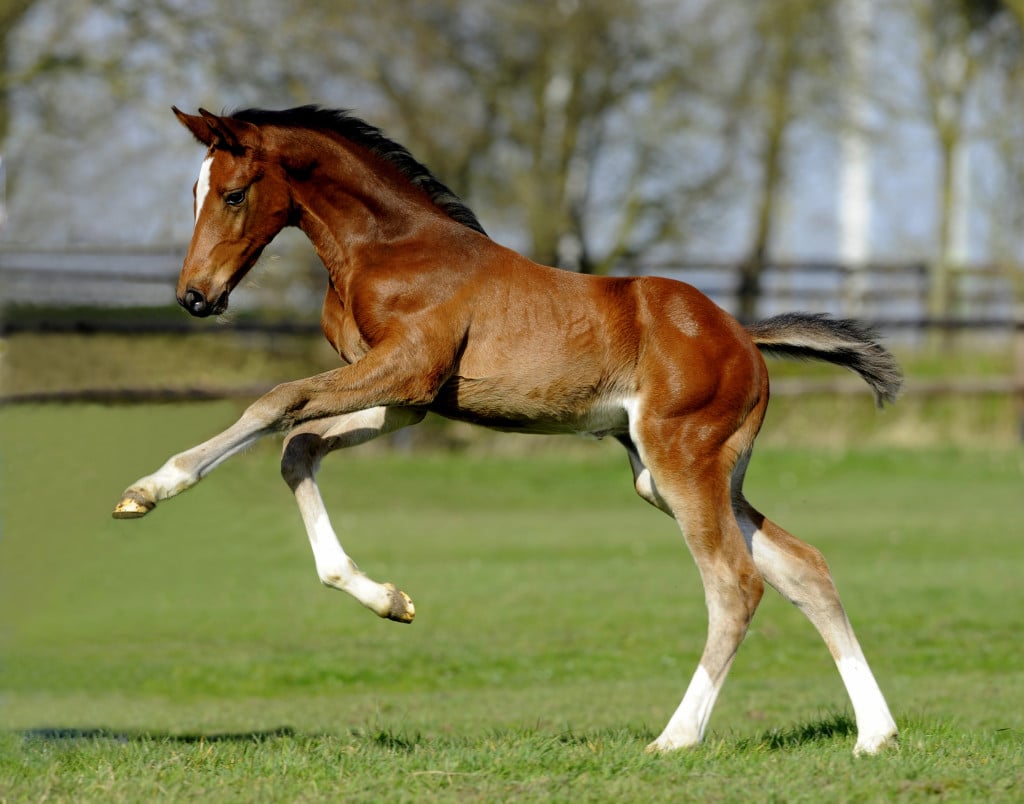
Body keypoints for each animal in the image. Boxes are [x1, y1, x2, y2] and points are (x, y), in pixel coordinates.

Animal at [110, 106, 897, 753]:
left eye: (233, 193)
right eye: (194, 193)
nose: (195, 296)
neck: (388, 248)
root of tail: (742, 335)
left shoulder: (406, 371)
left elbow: (274, 404)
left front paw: (149, 488)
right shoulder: (406, 401)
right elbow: (298, 446)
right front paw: (386, 599)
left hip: (682, 463)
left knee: (735, 585)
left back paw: (676, 738)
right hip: (677, 474)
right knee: (804, 567)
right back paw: (875, 736)